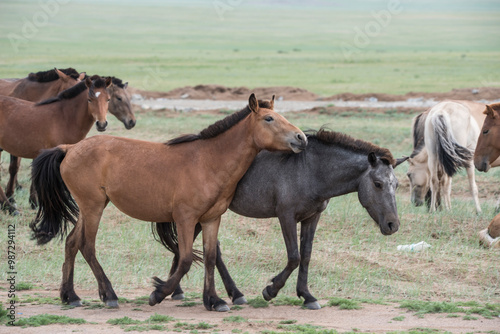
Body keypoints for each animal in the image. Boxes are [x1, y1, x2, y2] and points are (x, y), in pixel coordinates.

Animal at [31, 92, 306, 312]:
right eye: (269, 119)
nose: (301, 137)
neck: (209, 161)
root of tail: (70, 148)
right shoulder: (185, 219)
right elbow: (185, 260)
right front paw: (159, 293)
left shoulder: (211, 219)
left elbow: (209, 258)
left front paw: (214, 300)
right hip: (93, 207)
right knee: (87, 247)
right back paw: (108, 295)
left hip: (89, 208)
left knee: (71, 243)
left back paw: (70, 296)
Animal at [154, 129, 408, 310]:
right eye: (378, 183)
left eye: (396, 184)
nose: (392, 225)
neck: (311, 170)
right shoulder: (286, 216)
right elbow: (294, 257)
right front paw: (271, 290)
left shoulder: (312, 218)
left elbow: (306, 256)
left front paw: (307, 296)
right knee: (204, 249)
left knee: (197, 248)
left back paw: (183, 290)